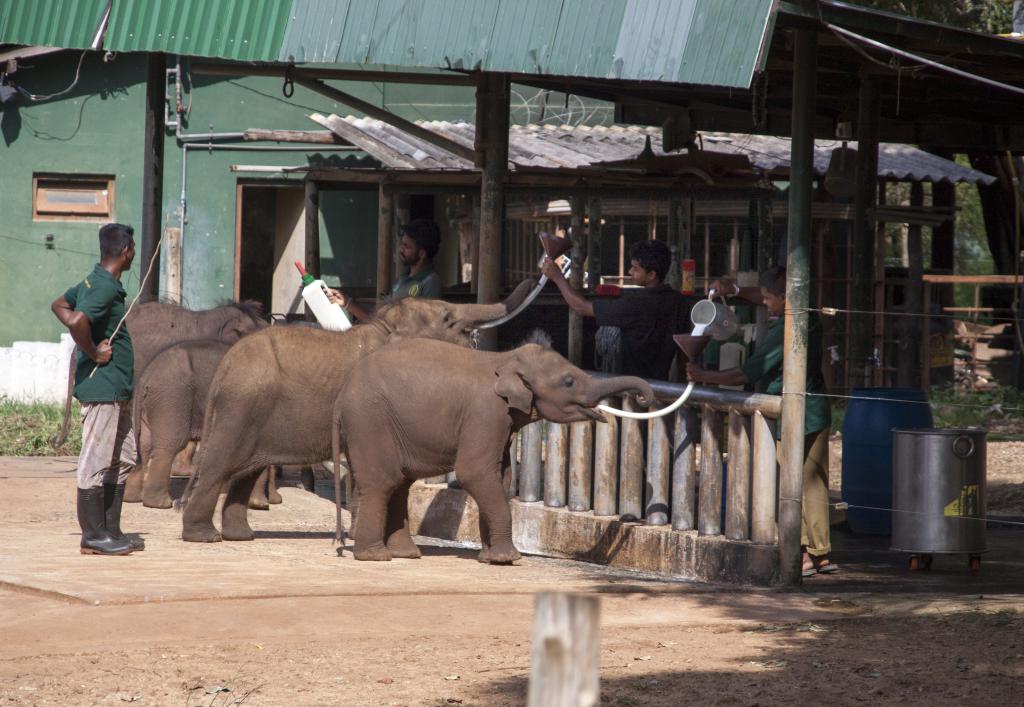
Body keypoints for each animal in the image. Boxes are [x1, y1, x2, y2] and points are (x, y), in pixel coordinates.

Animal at [335, 334, 655, 561]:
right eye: (568, 381)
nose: (643, 398)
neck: (506, 358)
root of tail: (342, 392)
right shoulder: (485, 413)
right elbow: (475, 473)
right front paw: (507, 559)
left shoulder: (503, 422)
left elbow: (501, 478)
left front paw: (490, 557)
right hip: (370, 420)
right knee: (384, 481)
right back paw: (375, 557)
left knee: (400, 482)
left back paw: (406, 554)